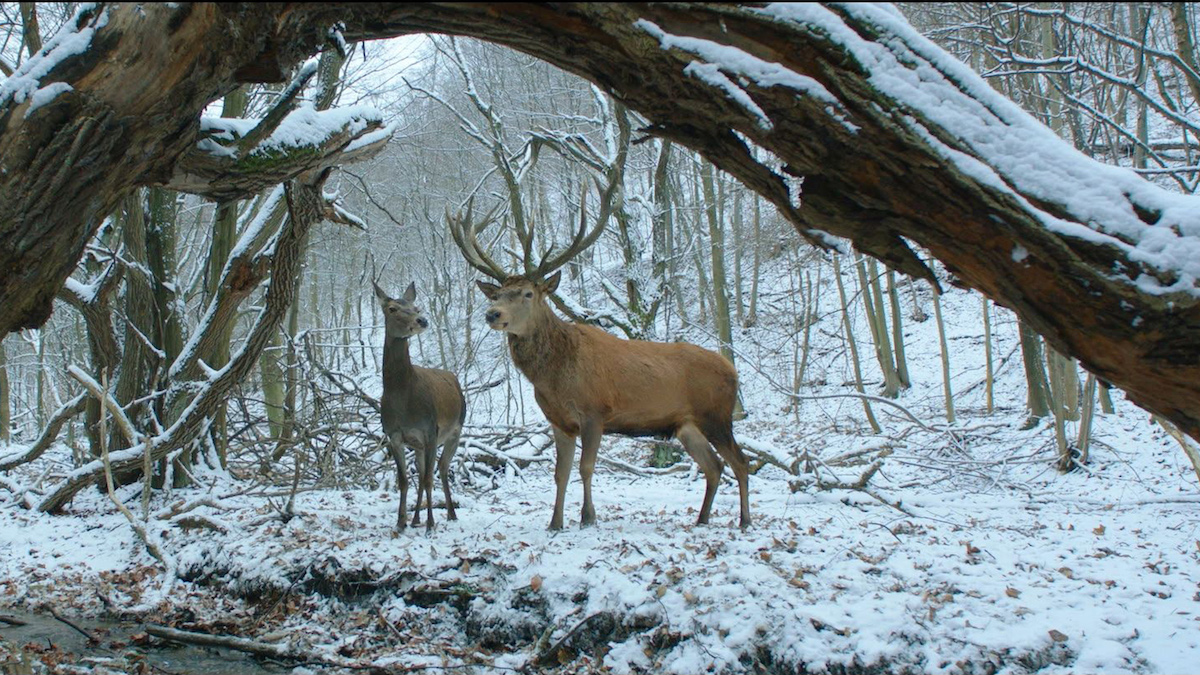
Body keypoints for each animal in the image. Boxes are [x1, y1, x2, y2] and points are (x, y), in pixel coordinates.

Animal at [374, 279, 463, 530]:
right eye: (392, 308)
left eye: (416, 308)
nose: (421, 320)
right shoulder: (394, 434)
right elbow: (404, 480)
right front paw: (400, 522)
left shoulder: (430, 430)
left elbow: (428, 478)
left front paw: (431, 524)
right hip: (419, 444)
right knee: (424, 473)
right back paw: (415, 520)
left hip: (456, 429)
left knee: (441, 468)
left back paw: (450, 514)